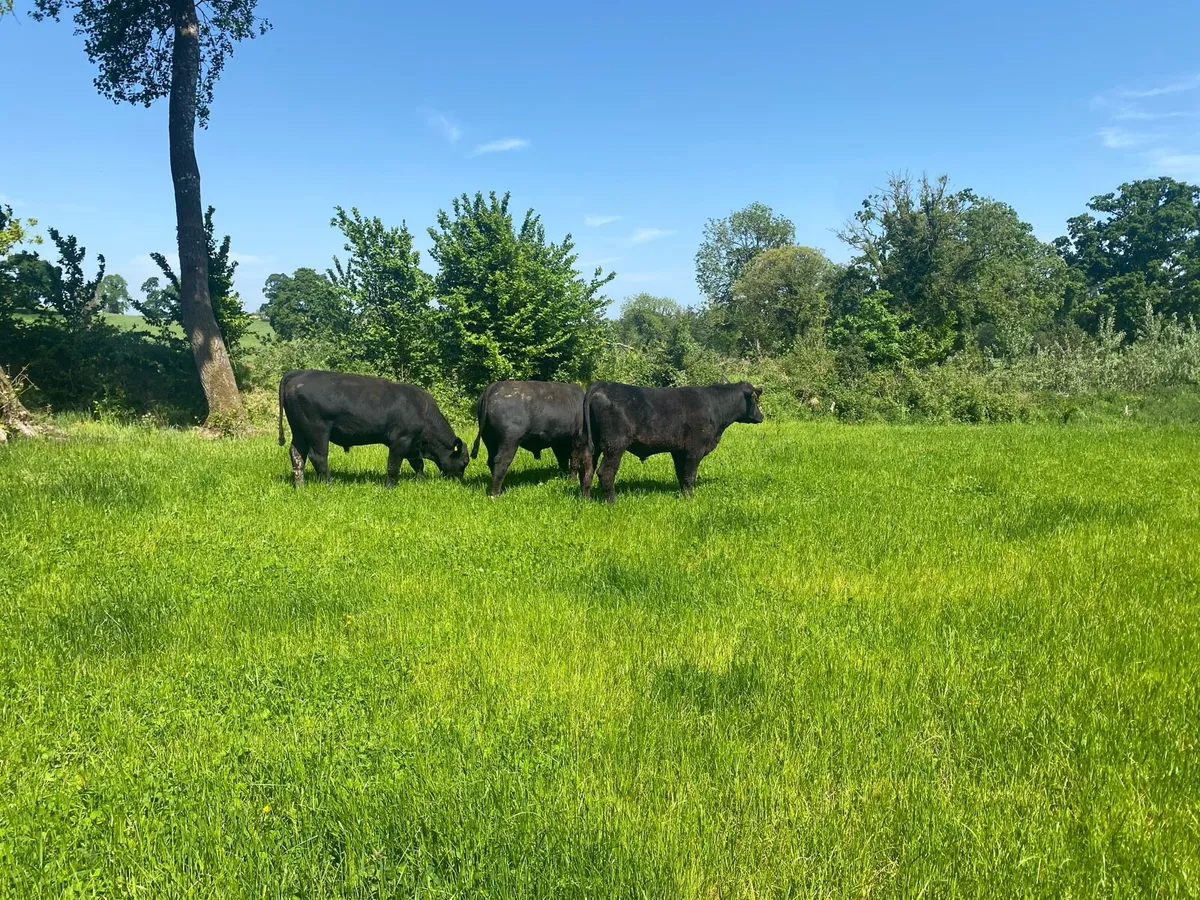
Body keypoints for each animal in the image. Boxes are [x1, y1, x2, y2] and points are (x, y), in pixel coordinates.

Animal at [278, 369, 469, 487]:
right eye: (464, 462)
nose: (458, 481)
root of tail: (299, 373)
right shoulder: (401, 440)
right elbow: (393, 465)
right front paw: (389, 486)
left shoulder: (413, 444)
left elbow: (418, 464)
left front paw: (421, 481)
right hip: (318, 431)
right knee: (318, 457)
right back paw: (328, 484)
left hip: (299, 432)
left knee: (297, 455)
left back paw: (300, 485)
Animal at [579, 381, 763, 503]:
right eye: (755, 400)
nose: (761, 417)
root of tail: (602, 384)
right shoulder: (694, 449)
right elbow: (689, 475)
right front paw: (690, 498)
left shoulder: (679, 451)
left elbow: (681, 474)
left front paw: (683, 495)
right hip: (615, 446)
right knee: (605, 472)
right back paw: (612, 501)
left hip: (592, 446)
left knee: (587, 470)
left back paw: (586, 499)